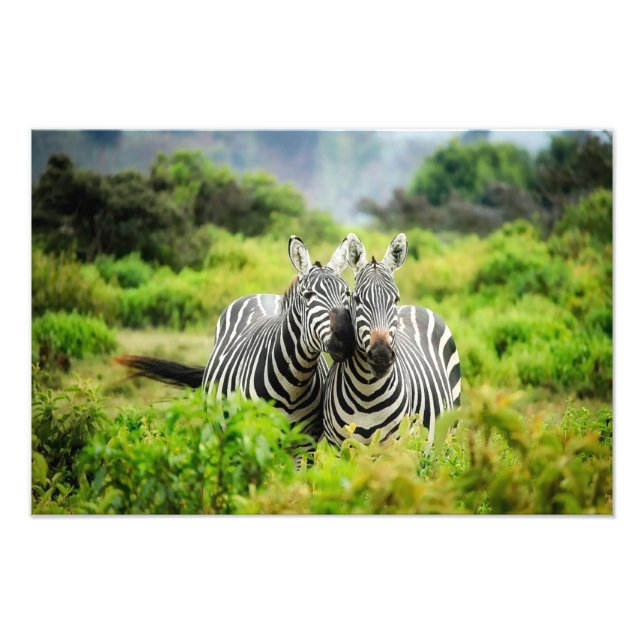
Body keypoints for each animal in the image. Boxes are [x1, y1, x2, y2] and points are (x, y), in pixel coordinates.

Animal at [117, 235, 355, 442]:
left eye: (347, 293)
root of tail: (261, 294)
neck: (295, 382)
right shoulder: (254, 436)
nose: (345, 338)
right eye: (308, 295)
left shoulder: (305, 444)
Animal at [323, 232, 461, 449]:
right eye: (357, 299)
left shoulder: (394, 446)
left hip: (447, 434)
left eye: (395, 299)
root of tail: (416, 307)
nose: (381, 356)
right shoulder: (338, 447)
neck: (367, 393)